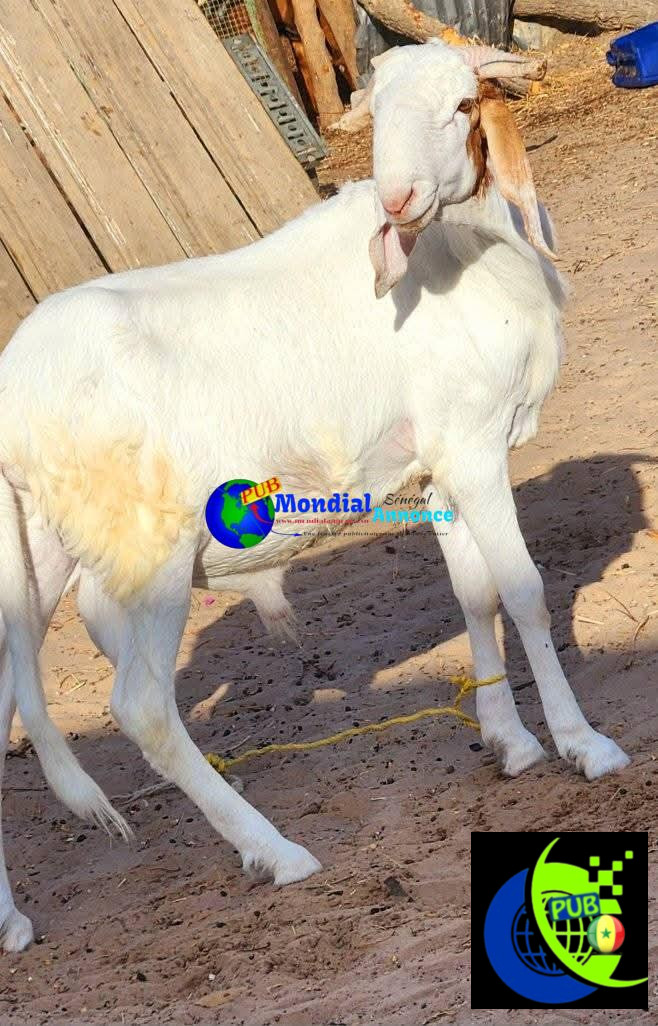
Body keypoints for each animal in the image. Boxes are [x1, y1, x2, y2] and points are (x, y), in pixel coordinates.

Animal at [0, 39, 629, 951]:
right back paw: (276, 852)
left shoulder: (441, 465)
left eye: (462, 106)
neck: (462, 256)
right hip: (148, 553)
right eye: (380, 114)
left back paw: (11, 922)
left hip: (38, 554)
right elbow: (525, 593)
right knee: (143, 708)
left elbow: (474, 598)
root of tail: (15, 390)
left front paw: (510, 744)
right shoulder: (475, 447)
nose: (398, 198)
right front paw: (586, 746)